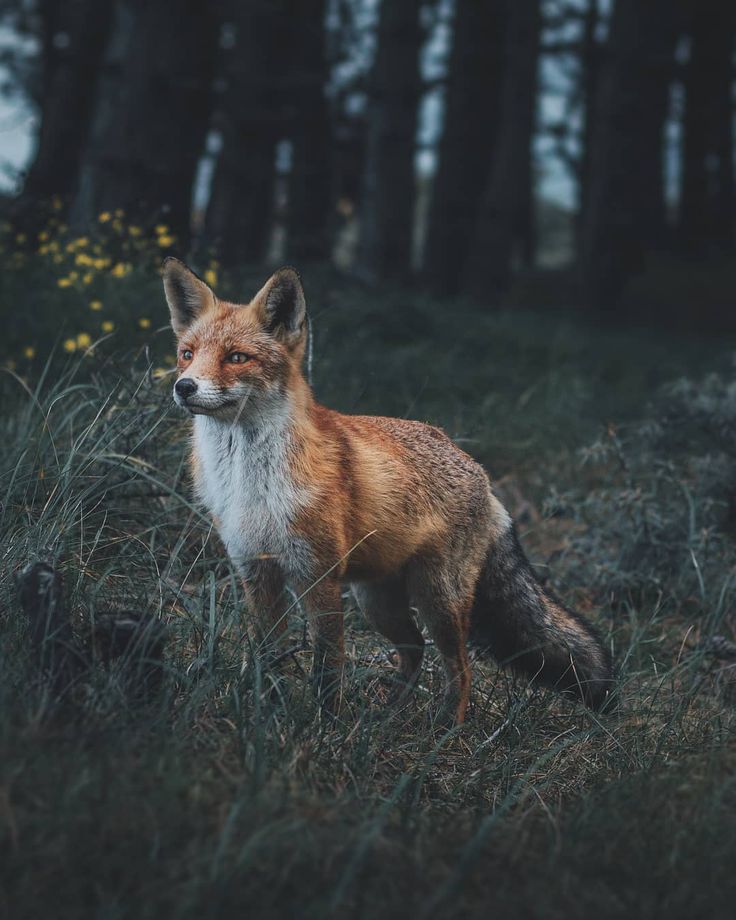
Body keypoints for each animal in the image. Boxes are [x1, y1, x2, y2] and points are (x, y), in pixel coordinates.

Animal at [164, 260, 612, 724]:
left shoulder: (318, 576)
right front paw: (267, 714)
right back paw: (390, 714)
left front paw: (325, 726)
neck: (251, 483)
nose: (184, 386)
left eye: (237, 357)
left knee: (460, 667)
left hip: (438, 600)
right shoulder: (256, 572)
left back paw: (448, 727)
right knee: (413, 649)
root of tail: (478, 471)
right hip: (377, 601)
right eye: (187, 354)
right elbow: (268, 658)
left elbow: (329, 664)